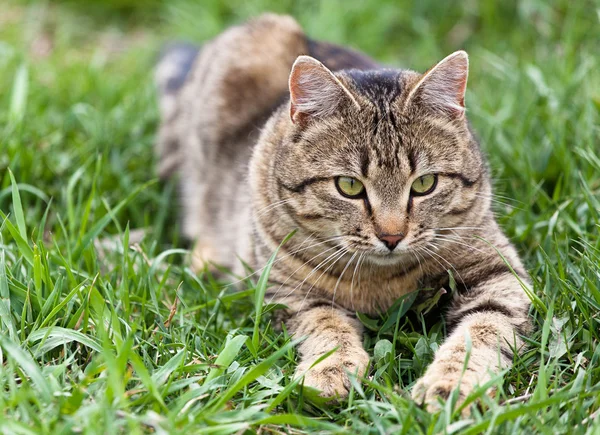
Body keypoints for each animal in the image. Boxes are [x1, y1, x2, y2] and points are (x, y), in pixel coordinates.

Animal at [155, 13, 528, 414]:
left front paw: (452, 385)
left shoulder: (500, 276)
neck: (381, 282)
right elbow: (327, 326)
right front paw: (329, 372)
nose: (392, 236)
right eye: (349, 186)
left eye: (425, 184)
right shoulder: (290, 293)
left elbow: (481, 332)